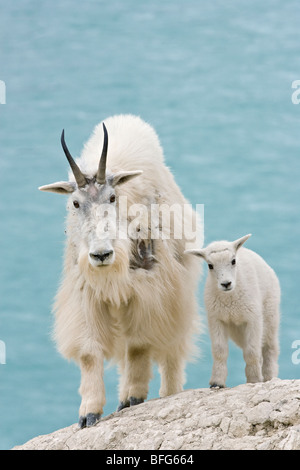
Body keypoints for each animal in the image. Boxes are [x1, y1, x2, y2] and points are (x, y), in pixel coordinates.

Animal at [37, 114, 202, 426]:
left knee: (171, 350)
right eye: (75, 202)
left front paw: (133, 397)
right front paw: (89, 413)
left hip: (177, 294)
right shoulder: (86, 297)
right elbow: (90, 353)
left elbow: (138, 345)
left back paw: (167, 392)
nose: (101, 255)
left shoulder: (149, 293)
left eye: (112, 197)